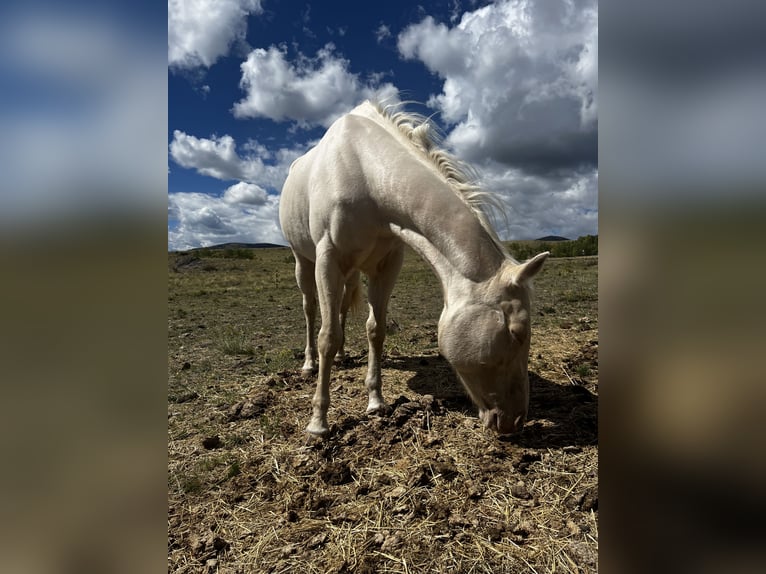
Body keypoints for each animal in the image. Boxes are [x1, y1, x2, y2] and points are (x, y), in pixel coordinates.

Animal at [279, 100, 548, 437]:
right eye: (517, 333)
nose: (516, 421)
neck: (365, 174)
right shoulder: (328, 259)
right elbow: (327, 337)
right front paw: (318, 422)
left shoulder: (387, 265)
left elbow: (375, 330)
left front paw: (376, 402)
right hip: (304, 263)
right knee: (310, 309)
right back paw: (308, 364)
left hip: (350, 272)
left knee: (340, 308)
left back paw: (342, 358)